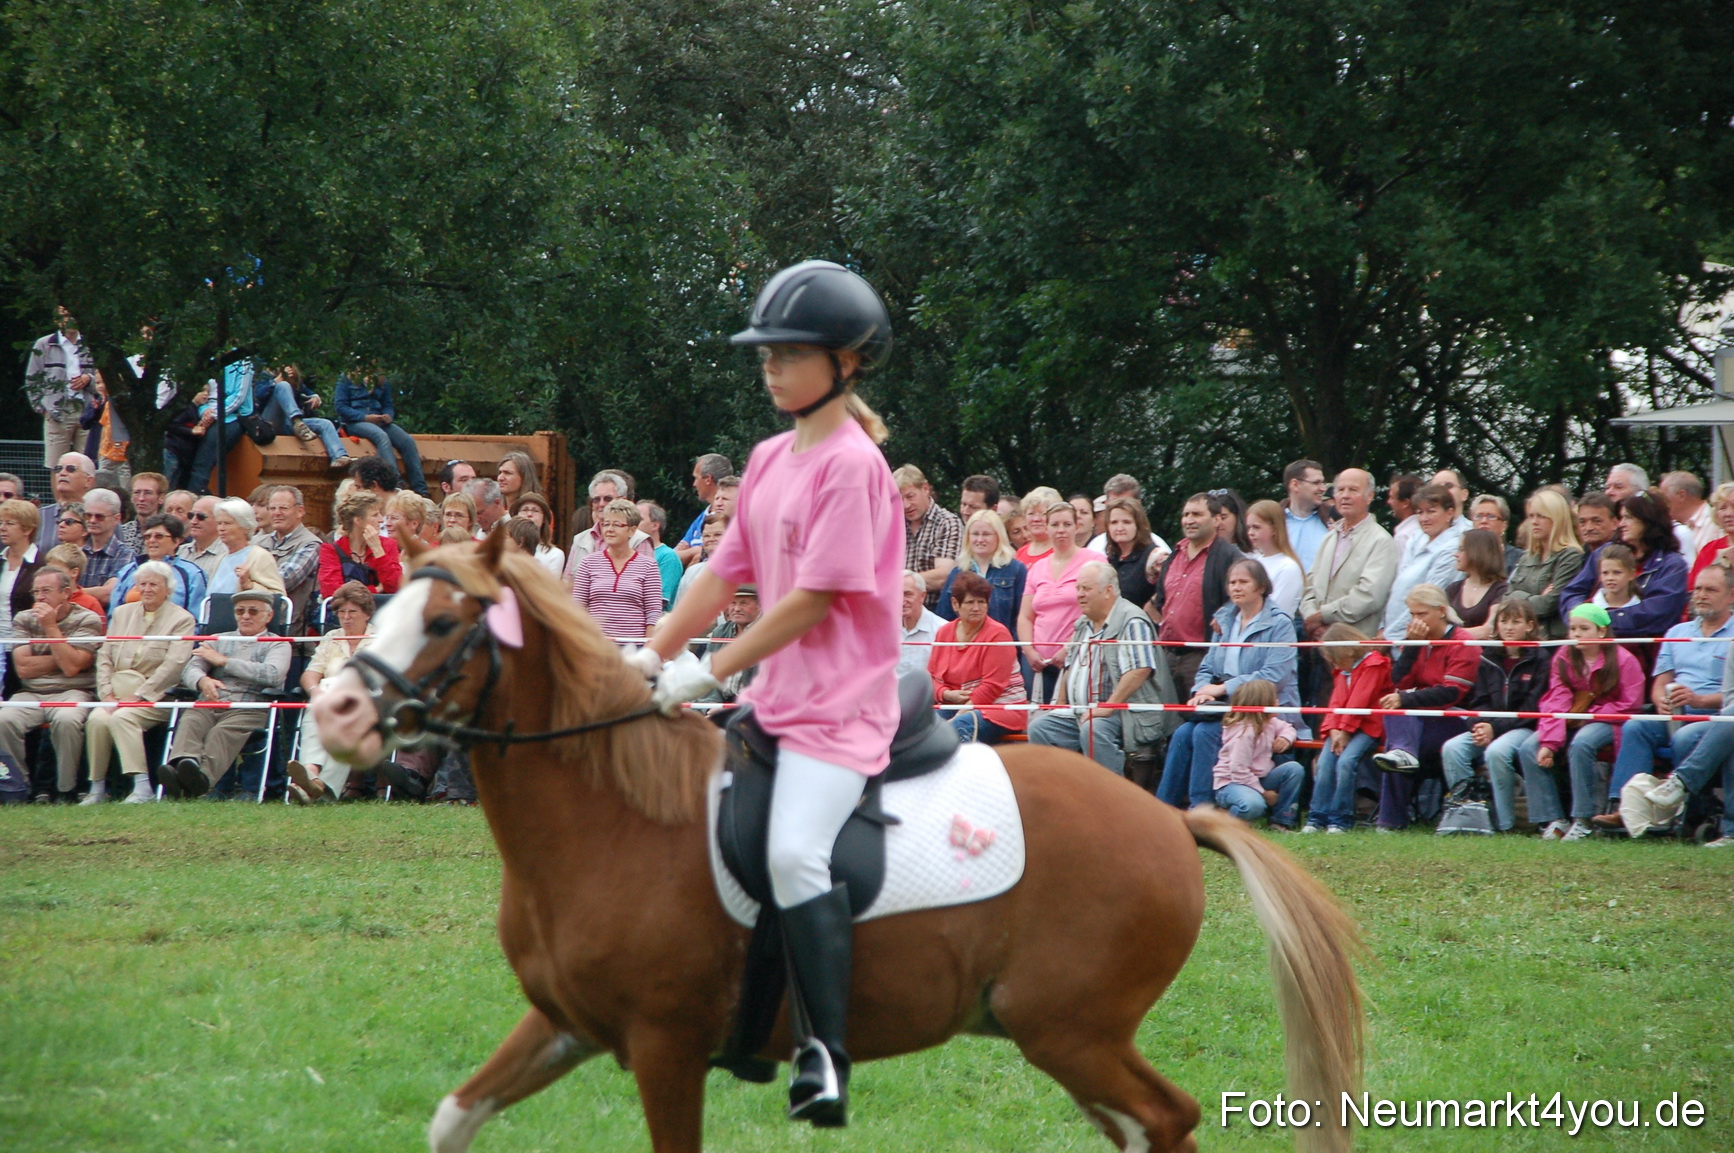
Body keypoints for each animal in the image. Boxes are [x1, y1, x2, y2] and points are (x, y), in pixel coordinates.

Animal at [312, 531, 1366, 1153]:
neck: (612, 816)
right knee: (1150, 1129)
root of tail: (1168, 817)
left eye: (441, 621)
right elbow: (453, 1118)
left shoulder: (663, 1044)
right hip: (1072, 1039)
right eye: (392, 608)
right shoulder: (565, 1022)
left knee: (1164, 1120)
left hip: (1070, 1029)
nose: (333, 713)